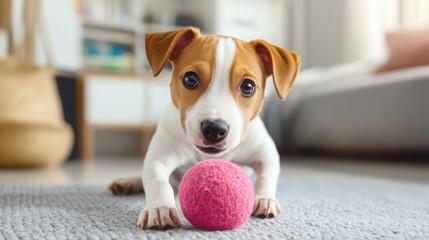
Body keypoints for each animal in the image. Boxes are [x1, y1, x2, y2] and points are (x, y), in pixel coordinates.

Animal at [108, 27, 300, 230]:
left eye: (248, 86)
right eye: (190, 78)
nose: (214, 128)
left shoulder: (266, 155)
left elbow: (266, 176)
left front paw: (264, 199)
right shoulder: (159, 158)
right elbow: (158, 180)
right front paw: (160, 207)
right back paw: (127, 182)